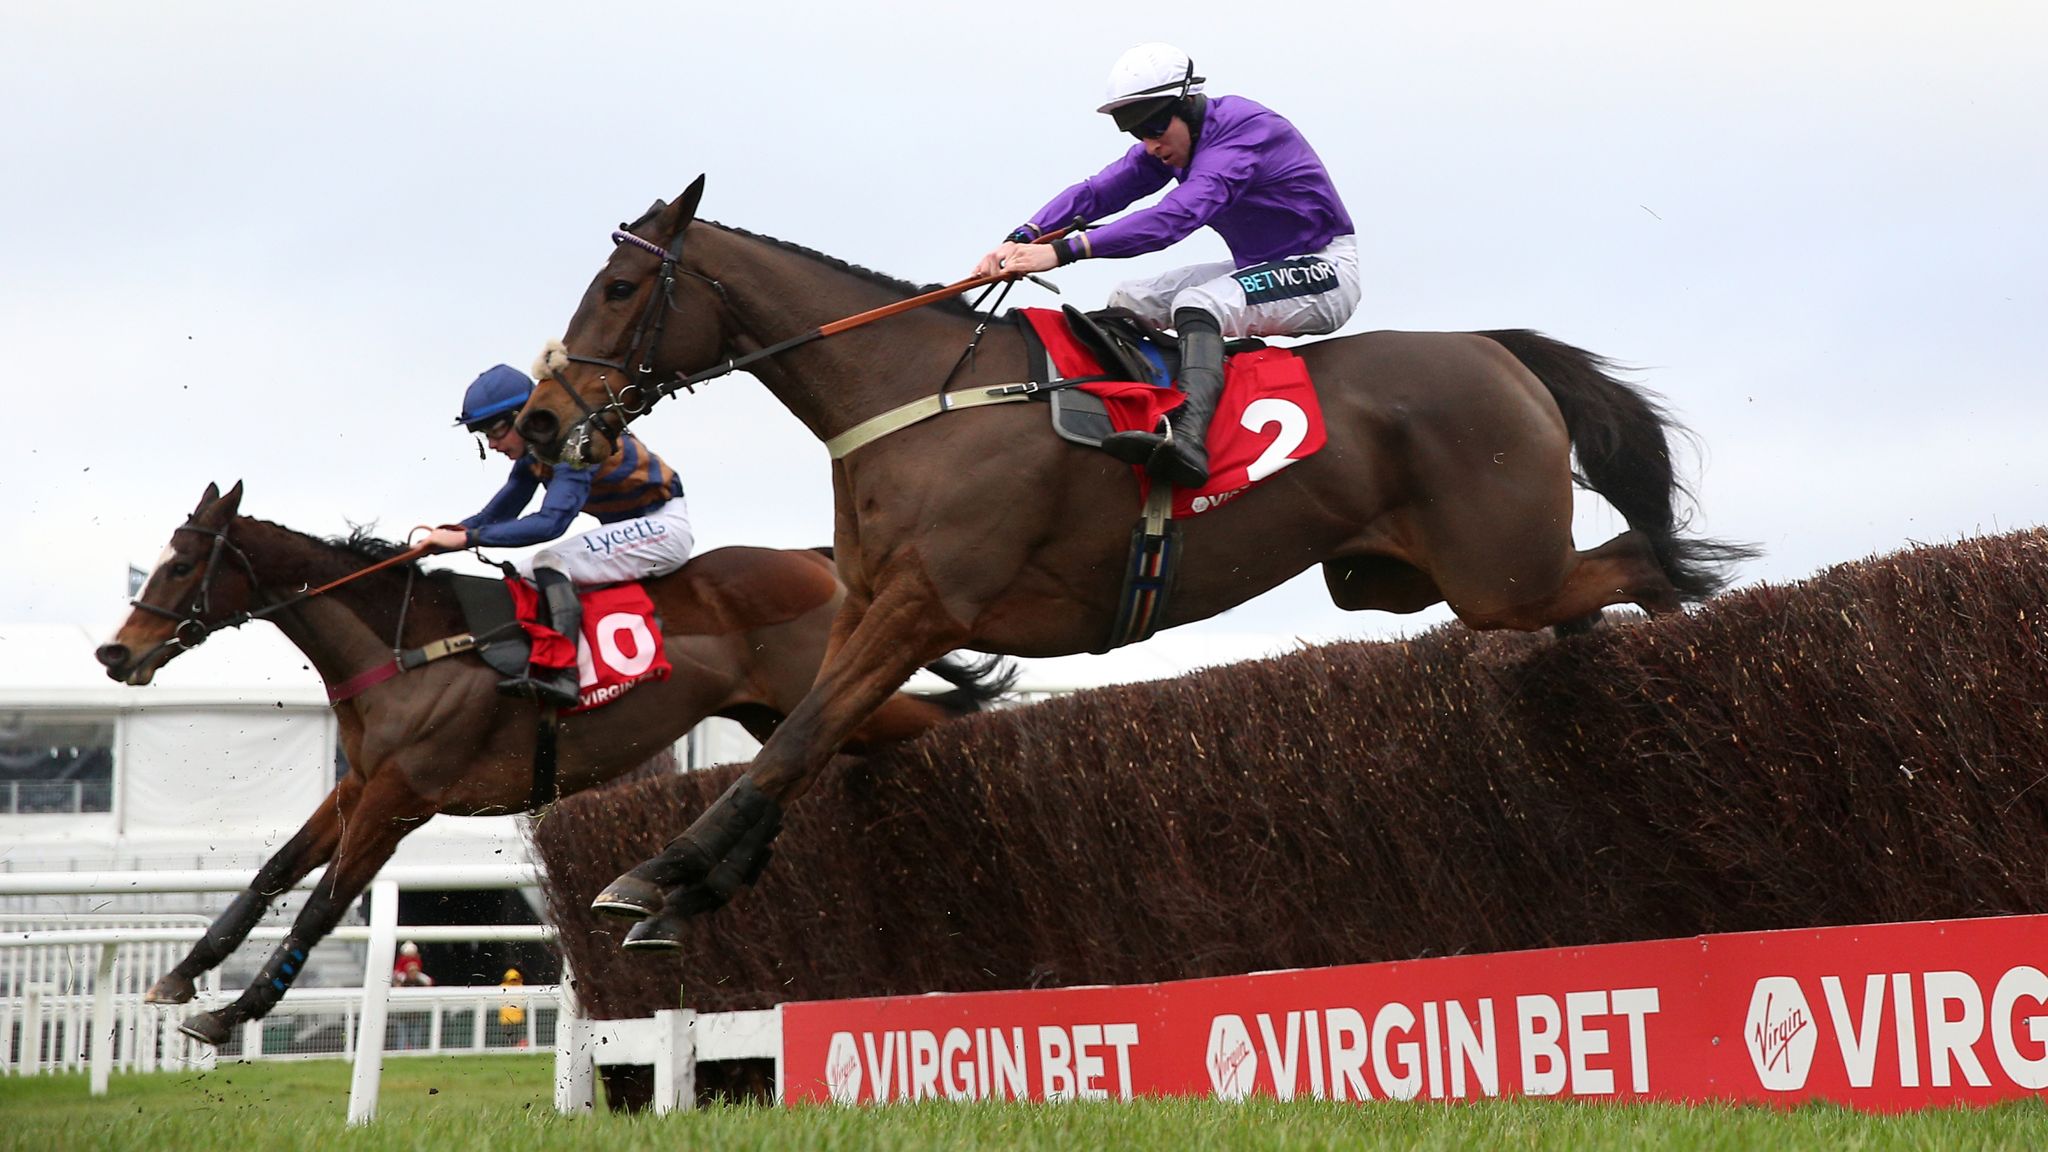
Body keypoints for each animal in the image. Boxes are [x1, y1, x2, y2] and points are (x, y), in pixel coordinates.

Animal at [96, 477, 1007, 1041]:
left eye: (184, 562)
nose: (115, 653)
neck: (406, 645)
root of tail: (814, 560)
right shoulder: (358, 785)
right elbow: (274, 872)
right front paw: (181, 978)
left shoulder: (400, 799)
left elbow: (322, 906)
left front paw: (229, 1016)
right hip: (779, 711)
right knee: (793, 772)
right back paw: (677, 902)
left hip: (834, 691)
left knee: (922, 725)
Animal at [516, 175, 1761, 947]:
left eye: (619, 289)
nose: (540, 420)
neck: (919, 396)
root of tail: (1495, 350)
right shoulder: (864, 605)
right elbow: (805, 739)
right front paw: (689, 890)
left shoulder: (926, 605)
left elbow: (801, 737)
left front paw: (652, 880)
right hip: (1401, 578)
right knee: (1591, 599)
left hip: (1492, 572)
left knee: (1644, 566)